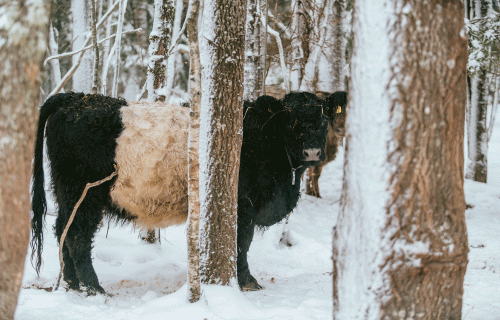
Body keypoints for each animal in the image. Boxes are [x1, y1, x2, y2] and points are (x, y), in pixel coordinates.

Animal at [30, 91, 328, 294]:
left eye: (324, 120)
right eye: (291, 120)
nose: (312, 152)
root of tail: (75, 98)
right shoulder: (243, 207)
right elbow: (241, 243)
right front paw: (246, 281)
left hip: (67, 194)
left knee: (63, 230)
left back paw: (72, 283)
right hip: (86, 195)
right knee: (78, 236)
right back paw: (94, 288)